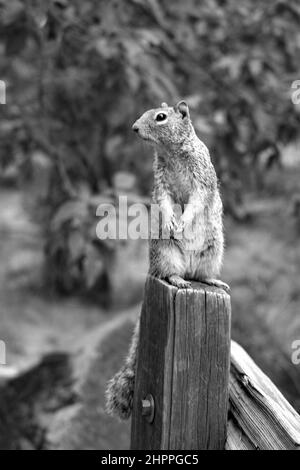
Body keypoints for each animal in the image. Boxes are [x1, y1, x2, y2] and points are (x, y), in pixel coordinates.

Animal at [104, 99, 229, 418]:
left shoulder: (202, 176)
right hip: (166, 254)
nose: (134, 128)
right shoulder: (160, 182)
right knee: (171, 273)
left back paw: (212, 281)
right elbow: (164, 201)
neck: (170, 152)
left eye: (161, 117)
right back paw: (176, 279)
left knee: (200, 275)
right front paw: (172, 221)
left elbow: (196, 201)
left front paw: (184, 222)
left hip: (213, 253)